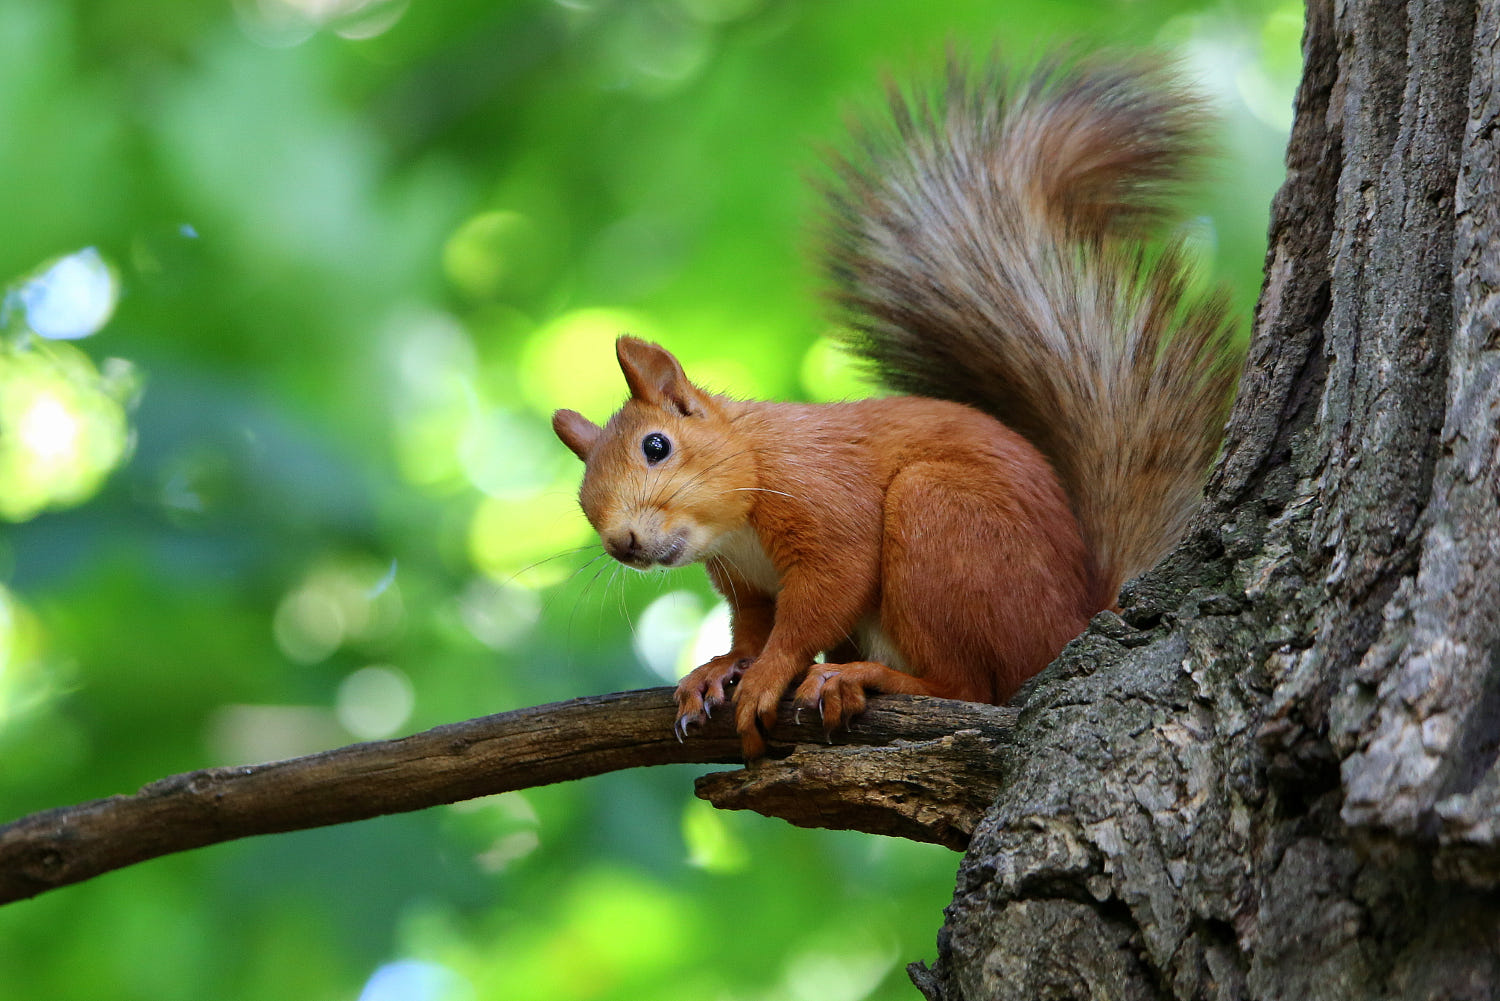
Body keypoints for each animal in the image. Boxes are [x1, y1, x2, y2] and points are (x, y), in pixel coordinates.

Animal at [552, 58, 1242, 756]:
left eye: (656, 446)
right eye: (582, 500)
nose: (622, 543)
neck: (742, 501)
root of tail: (1074, 622)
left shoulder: (822, 498)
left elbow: (820, 600)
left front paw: (768, 674)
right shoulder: (746, 584)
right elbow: (752, 627)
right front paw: (722, 668)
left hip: (941, 521)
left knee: (970, 688)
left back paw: (865, 677)